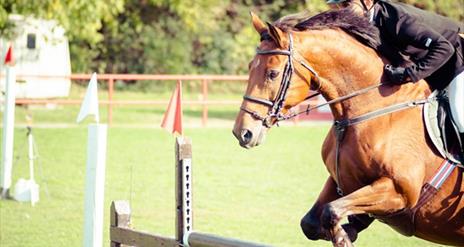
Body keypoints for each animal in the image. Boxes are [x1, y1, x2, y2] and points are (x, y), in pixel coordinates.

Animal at [232, 8, 464, 246]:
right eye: (250, 68)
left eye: (273, 74)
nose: (243, 132)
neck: (371, 107)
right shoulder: (341, 181)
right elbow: (311, 224)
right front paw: (347, 231)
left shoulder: (400, 191)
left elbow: (331, 212)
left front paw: (343, 237)